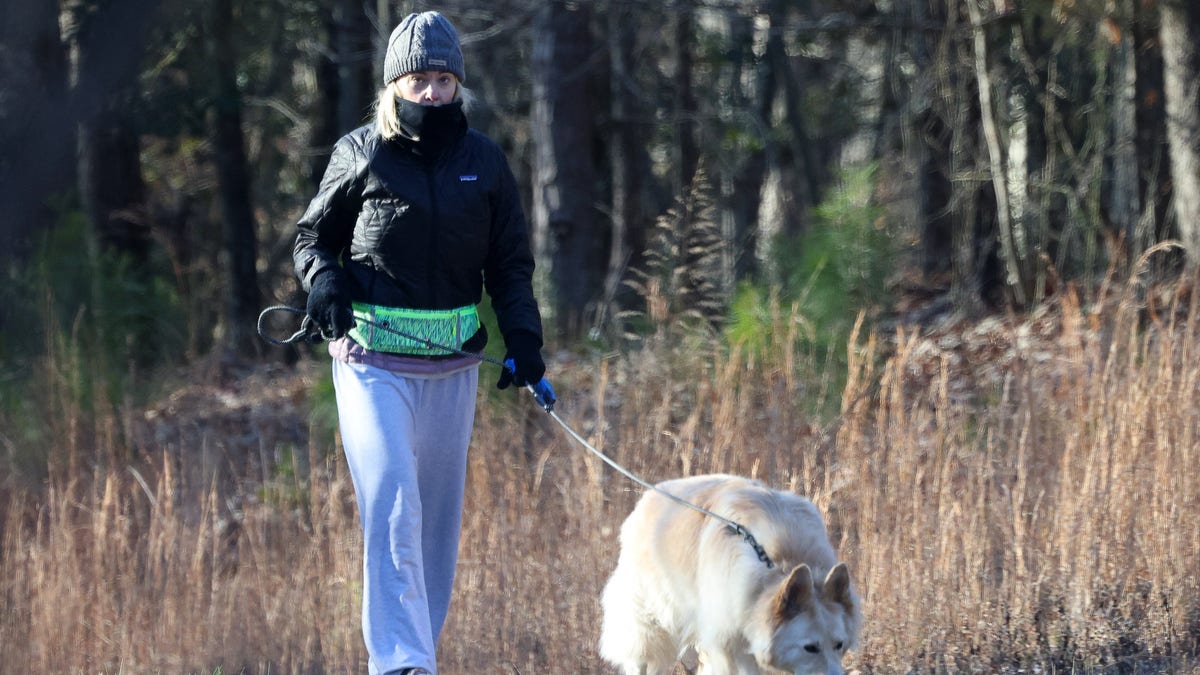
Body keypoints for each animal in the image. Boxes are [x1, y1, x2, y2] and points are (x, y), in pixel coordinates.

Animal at [600, 473, 864, 672]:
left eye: (839, 645)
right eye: (810, 648)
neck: (778, 565)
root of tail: (652, 494)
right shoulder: (730, 645)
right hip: (649, 629)